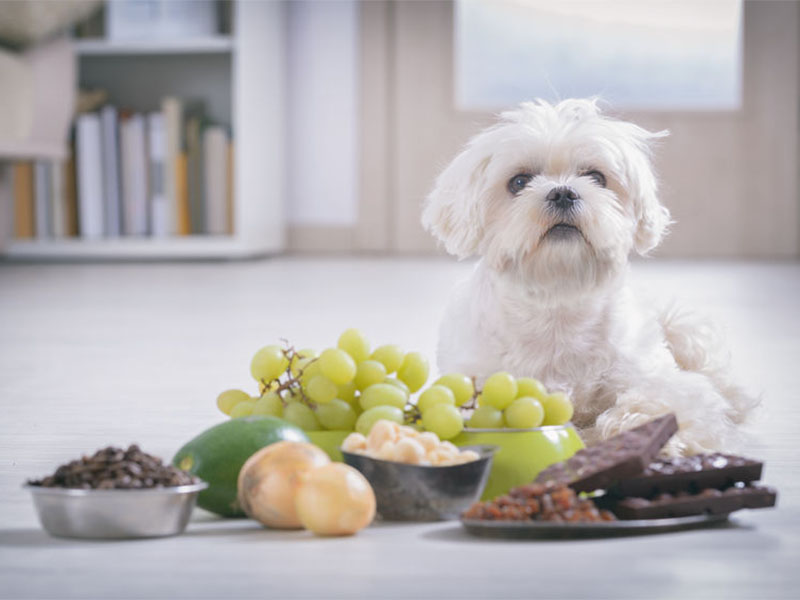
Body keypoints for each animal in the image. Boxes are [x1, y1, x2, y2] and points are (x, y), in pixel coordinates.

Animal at [422, 98, 760, 454]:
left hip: (683, 329)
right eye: (519, 182)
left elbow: (662, 402)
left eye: (597, 177)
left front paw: (640, 432)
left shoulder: (659, 379)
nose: (563, 193)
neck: (558, 300)